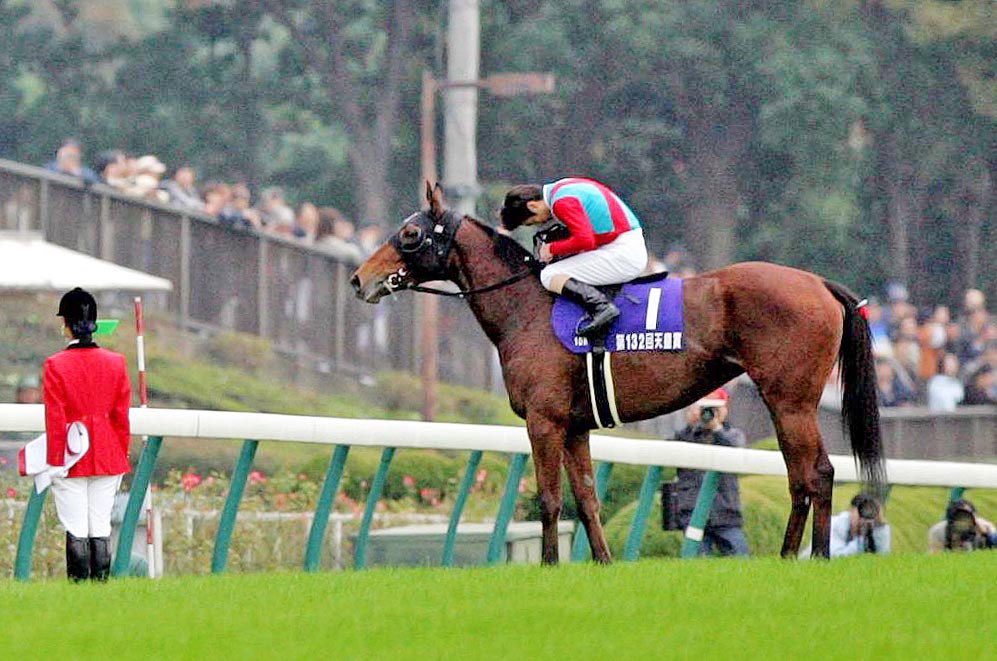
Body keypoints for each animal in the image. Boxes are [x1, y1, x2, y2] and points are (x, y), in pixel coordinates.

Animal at [351, 183, 884, 562]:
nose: (359, 279)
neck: (525, 308)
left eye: (410, 234)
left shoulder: (543, 421)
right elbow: (587, 497)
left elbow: (550, 498)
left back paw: (813, 557)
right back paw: (791, 555)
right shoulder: (575, 427)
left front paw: (548, 566)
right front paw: (603, 563)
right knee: (802, 477)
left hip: (791, 401)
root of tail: (818, 282)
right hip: (786, 403)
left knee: (817, 473)